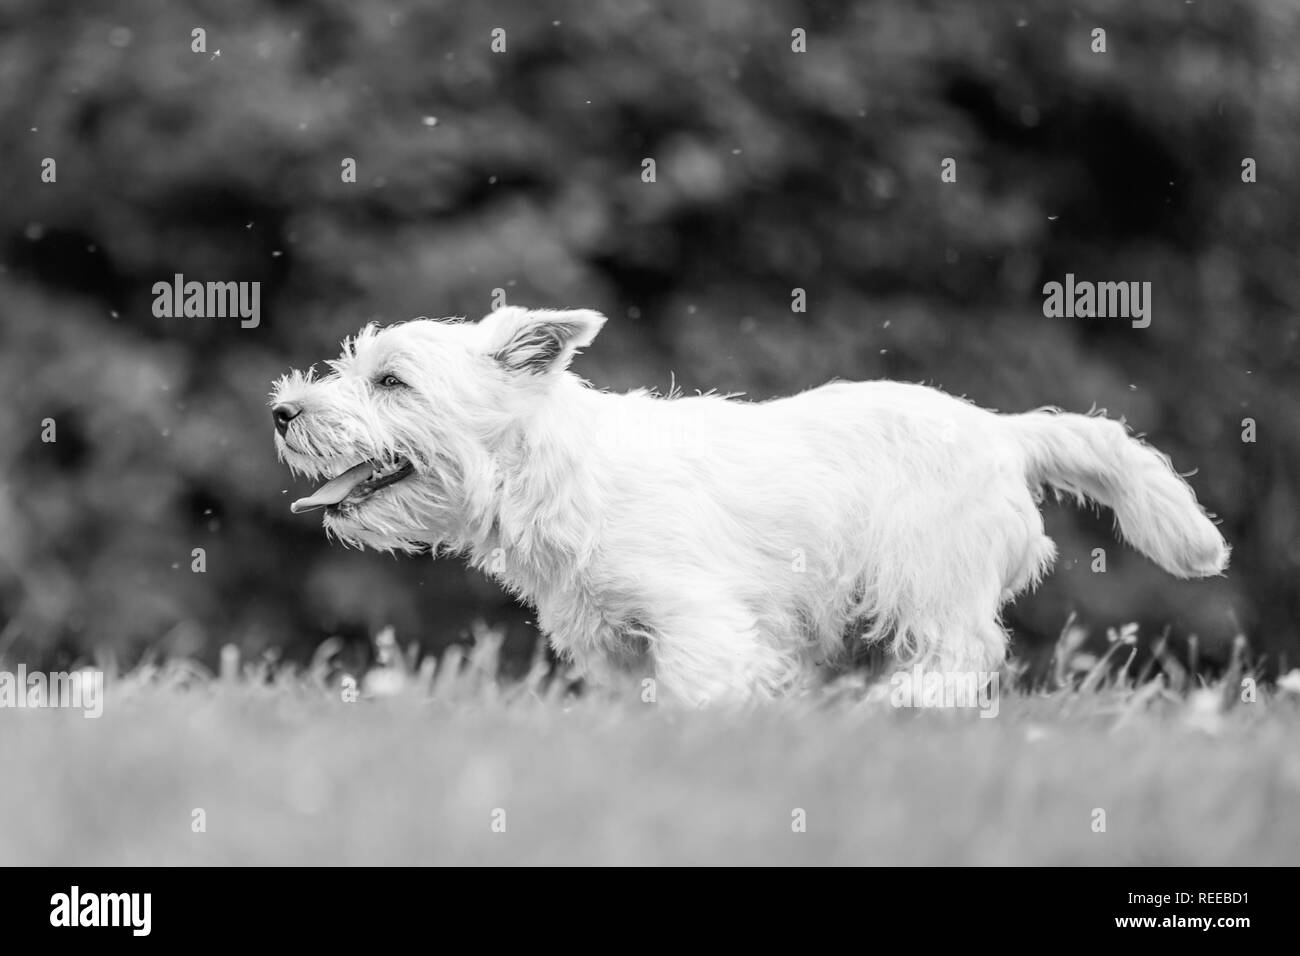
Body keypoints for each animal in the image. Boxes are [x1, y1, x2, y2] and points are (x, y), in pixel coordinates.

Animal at [274, 310, 1227, 707]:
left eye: (392, 381)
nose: (283, 411)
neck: (551, 475)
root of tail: (1001, 430)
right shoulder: (615, 645)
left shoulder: (701, 621)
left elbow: (700, 693)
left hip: (925, 579)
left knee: (964, 653)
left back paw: (909, 705)